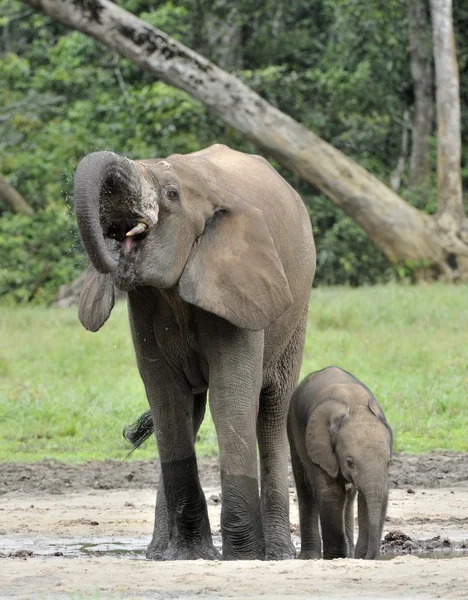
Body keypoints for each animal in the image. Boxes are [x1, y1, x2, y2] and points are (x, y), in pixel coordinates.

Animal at [74, 143, 314, 560]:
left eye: (171, 194)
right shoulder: (145, 307)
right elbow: (166, 400)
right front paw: (190, 555)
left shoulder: (240, 284)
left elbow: (230, 397)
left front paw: (241, 558)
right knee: (190, 411)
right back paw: (158, 553)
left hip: (294, 315)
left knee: (271, 411)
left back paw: (278, 554)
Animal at [288, 368, 392, 560]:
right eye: (349, 463)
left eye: (389, 462)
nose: (369, 556)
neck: (354, 403)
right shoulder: (319, 446)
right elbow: (331, 493)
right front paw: (335, 557)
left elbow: (372, 496)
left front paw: (357, 556)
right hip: (293, 427)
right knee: (304, 486)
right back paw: (310, 556)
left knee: (349, 495)